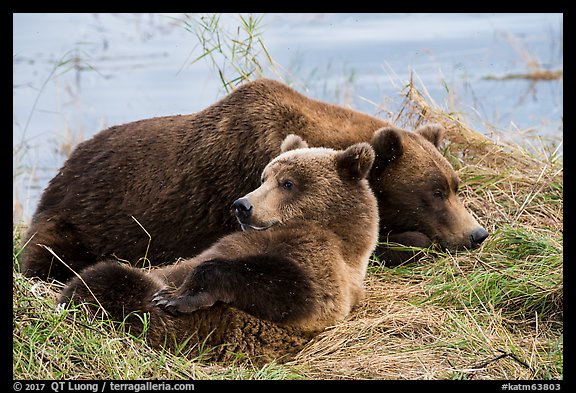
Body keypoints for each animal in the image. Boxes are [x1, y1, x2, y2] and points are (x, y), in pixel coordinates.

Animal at [20, 77, 486, 282]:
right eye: (434, 192)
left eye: (454, 185)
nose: (476, 233)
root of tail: (63, 167)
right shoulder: (247, 183)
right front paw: (413, 241)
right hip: (74, 217)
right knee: (49, 253)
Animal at [58, 135, 380, 364]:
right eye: (264, 177)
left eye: (288, 183)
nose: (242, 205)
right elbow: (201, 259)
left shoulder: (322, 261)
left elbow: (292, 288)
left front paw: (175, 297)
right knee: (101, 275)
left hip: (196, 330)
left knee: (116, 282)